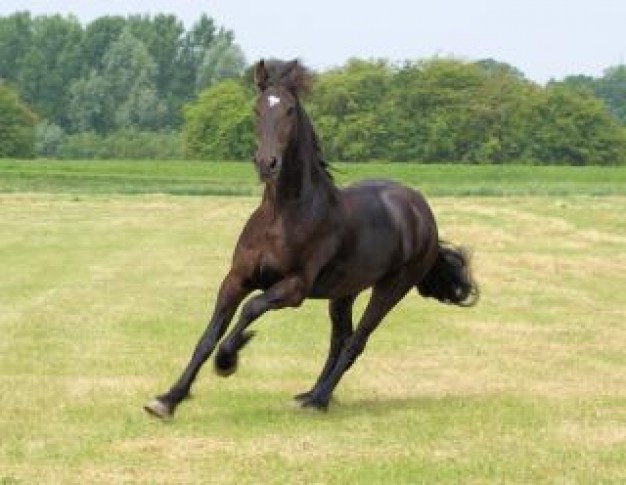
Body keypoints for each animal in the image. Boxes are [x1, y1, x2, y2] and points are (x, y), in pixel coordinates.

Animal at [145, 58, 478, 418]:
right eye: (257, 108)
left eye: (290, 110)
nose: (266, 163)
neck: (282, 215)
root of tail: (422, 212)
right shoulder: (236, 279)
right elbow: (208, 336)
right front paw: (167, 400)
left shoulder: (295, 288)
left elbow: (250, 309)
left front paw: (228, 360)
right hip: (345, 292)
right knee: (340, 339)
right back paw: (311, 394)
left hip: (392, 288)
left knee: (356, 341)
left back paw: (318, 400)